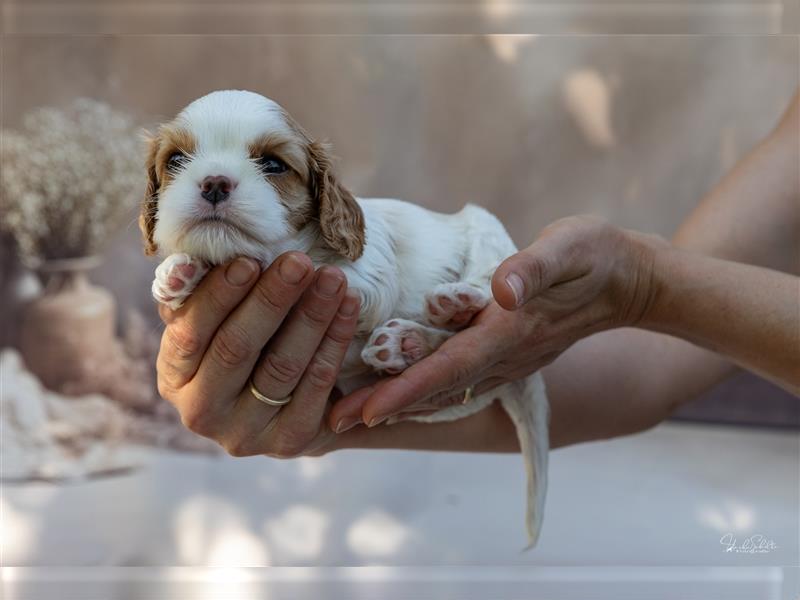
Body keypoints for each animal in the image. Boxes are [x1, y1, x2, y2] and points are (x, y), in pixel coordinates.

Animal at [139, 90, 552, 548]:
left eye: (273, 165)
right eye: (176, 160)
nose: (214, 182)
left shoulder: (370, 279)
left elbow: (305, 269)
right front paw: (175, 274)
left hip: (486, 230)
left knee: (482, 294)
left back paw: (449, 306)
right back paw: (406, 346)